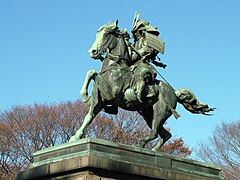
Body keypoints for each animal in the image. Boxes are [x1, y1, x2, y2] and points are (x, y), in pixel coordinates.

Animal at [69, 20, 214, 150]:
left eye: (106, 34)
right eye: (97, 34)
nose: (92, 51)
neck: (114, 67)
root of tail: (174, 92)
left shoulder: (110, 94)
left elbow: (92, 73)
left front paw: (85, 97)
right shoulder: (100, 101)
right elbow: (89, 115)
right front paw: (76, 136)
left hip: (160, 113)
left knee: (155, 132)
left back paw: (142, 143)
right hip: (148, 114)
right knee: (165, 134)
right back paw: (153, 150)